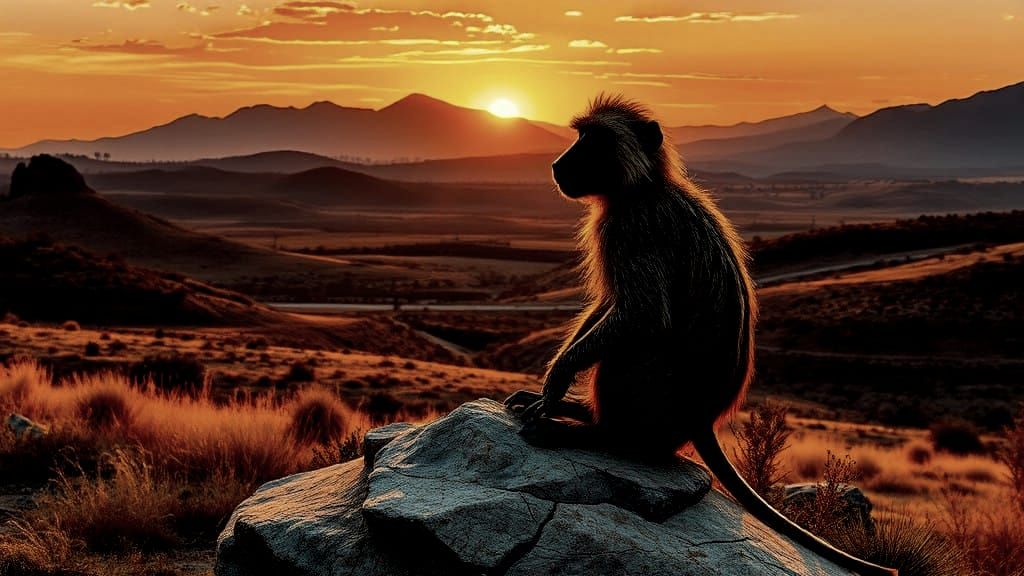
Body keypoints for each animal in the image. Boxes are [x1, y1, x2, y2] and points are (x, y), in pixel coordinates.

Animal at [504, 95, 898, 576]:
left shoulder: (634, 228)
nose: (559, 164)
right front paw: (552, 389)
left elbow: (643, 315)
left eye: (595, 140)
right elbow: (611, 307)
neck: (643, 187)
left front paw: (557, 382)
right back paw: (582, 415)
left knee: (638, 353)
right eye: (581, 136)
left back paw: (595, 433)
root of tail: (701, 421)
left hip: (665, 402)